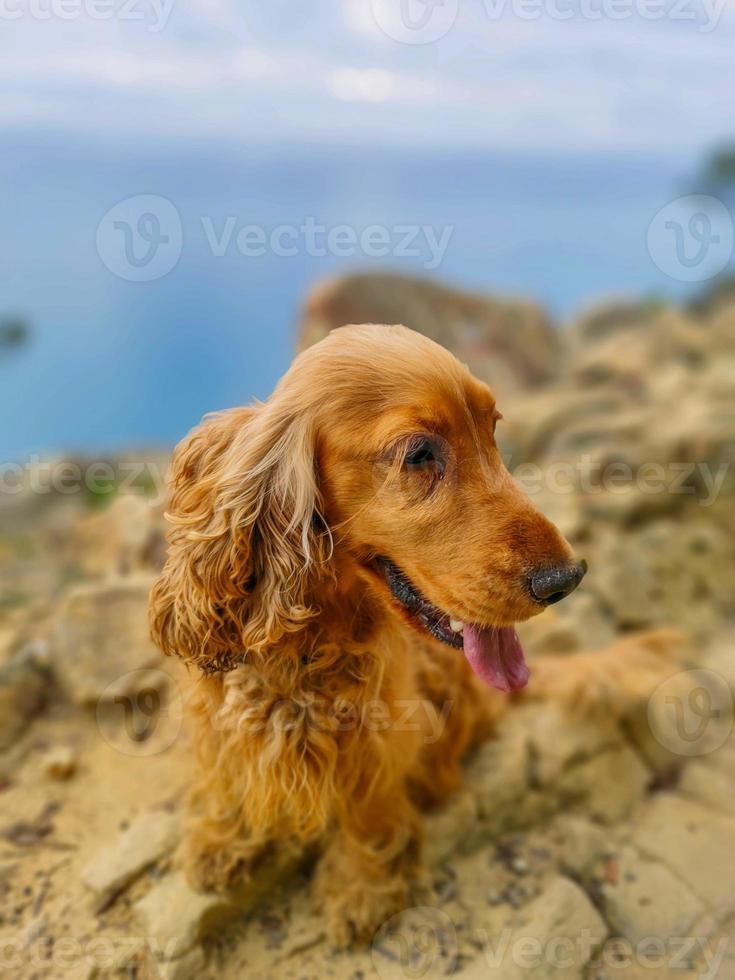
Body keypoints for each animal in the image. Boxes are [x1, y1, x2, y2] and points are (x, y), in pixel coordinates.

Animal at [151, 326, 680, 944]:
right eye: (419, 454)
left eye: (492, 429)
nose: (567, 579)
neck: (308, 642)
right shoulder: (215, 714)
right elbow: (223, 776)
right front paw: (219, 839)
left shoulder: (380, 733)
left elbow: (369, 807)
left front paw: (363, 888)